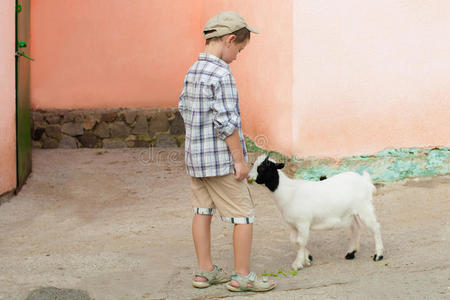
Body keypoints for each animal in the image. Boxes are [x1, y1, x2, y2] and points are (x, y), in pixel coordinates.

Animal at [248, 155, 384, 270]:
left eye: (262, 167)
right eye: (253, 164)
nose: (249, 177)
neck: (289, 192)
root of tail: (364, 180)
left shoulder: (303, 222)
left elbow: (300, 241)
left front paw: (298, 263)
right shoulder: (293, 225)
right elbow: (294, 241)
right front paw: (307, 257)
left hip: (365, 208)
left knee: (375, 228)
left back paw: (378, 255)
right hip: (351, 213)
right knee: (356, 228)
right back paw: (351, 253)